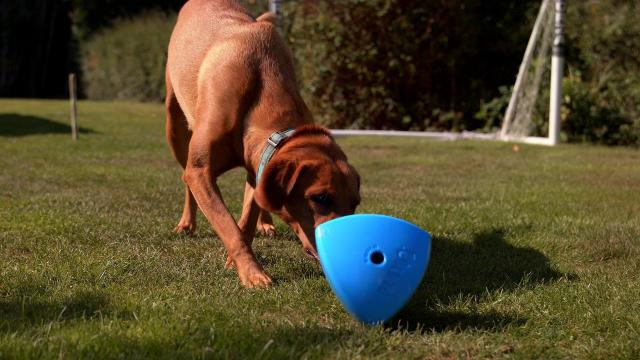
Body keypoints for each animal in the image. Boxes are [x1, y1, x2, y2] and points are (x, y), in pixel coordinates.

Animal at [165, 0, 360, 286]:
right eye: (320, 197)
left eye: (355, 203)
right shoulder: (200, 171)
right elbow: (229, 226)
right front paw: (253, 274)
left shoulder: (261, 161)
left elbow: (246, 218)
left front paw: (238, 262)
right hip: (175, 125)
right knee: (184, 174)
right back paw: (186, 223)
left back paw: (265, 223)